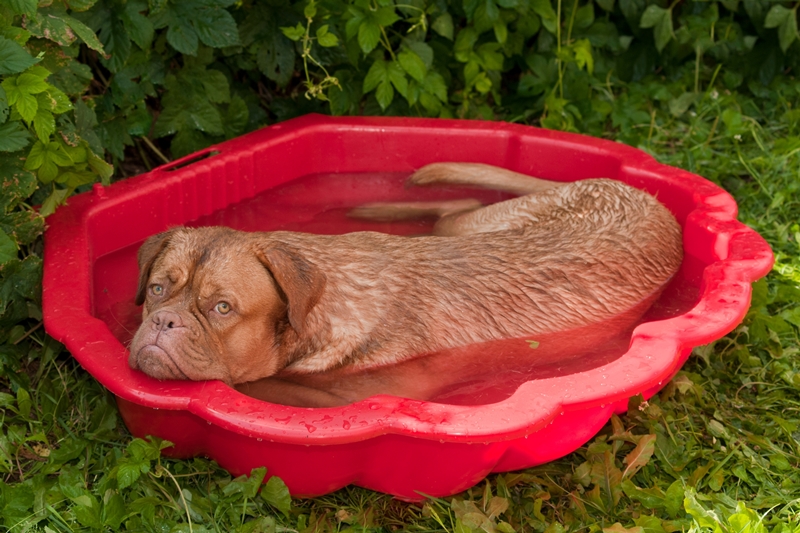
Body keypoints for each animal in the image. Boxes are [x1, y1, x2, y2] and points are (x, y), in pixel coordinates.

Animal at [126, 162, 680, 404]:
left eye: (222, 308)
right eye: (157, 289)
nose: (163, 321)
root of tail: (636, 190)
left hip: (478, 225)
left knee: (456, 206)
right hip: (480, 224)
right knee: (458, 206)